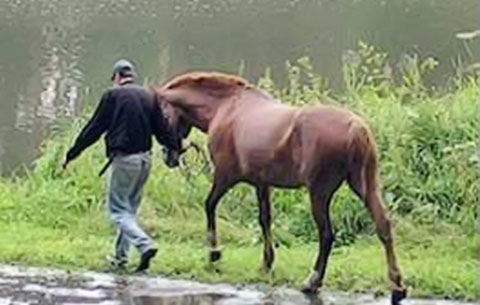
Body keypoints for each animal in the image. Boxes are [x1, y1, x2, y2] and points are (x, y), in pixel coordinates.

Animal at [153, 70, 404, 302]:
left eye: (162, 113)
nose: (169, 157)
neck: (226, 107)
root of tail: (356, 127)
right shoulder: (262, 184)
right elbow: (265, 219)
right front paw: (266, 263)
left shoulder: (225, 177)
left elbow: (210, 206)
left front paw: (214, 253)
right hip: (365, 186)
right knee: (383, 225)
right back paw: (397, 286)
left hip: (319, 193)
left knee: (326, 235)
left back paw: (312, 282)